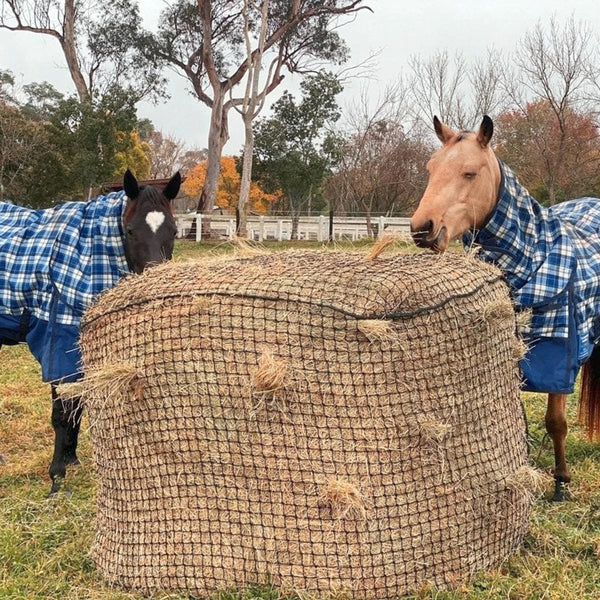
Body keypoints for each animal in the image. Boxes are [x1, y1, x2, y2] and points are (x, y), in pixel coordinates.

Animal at [1, 169, 182, 492]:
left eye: (173, 231)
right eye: (130, 231)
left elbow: (77, 407)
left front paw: (71, 459)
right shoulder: (57, 345)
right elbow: (62, 413)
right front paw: (56, 477)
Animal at [410, 115, 600, 500]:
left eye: (469, 172)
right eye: (431, 169)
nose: (422, 230)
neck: (537, 257)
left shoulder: (560, 358)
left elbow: (556, 423)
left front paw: (561, 483)